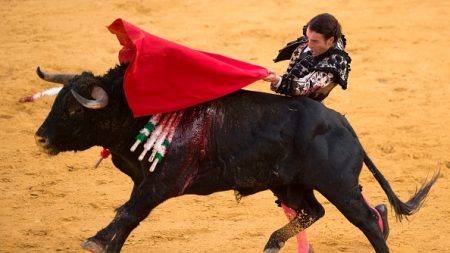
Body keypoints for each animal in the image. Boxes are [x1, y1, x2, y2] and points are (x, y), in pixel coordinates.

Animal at [35, 64, 440, 253]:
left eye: (73, 110)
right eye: (58, 102)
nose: (40, 138)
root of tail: (346, 126)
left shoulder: (162, 182)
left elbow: (127, 213)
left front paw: (98, 242)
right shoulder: (143, 182)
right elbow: (128, 216)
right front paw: (104, 242)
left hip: (338, 185)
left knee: (366, 220)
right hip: (292, 185)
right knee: (315, 211)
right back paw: (272, 242)